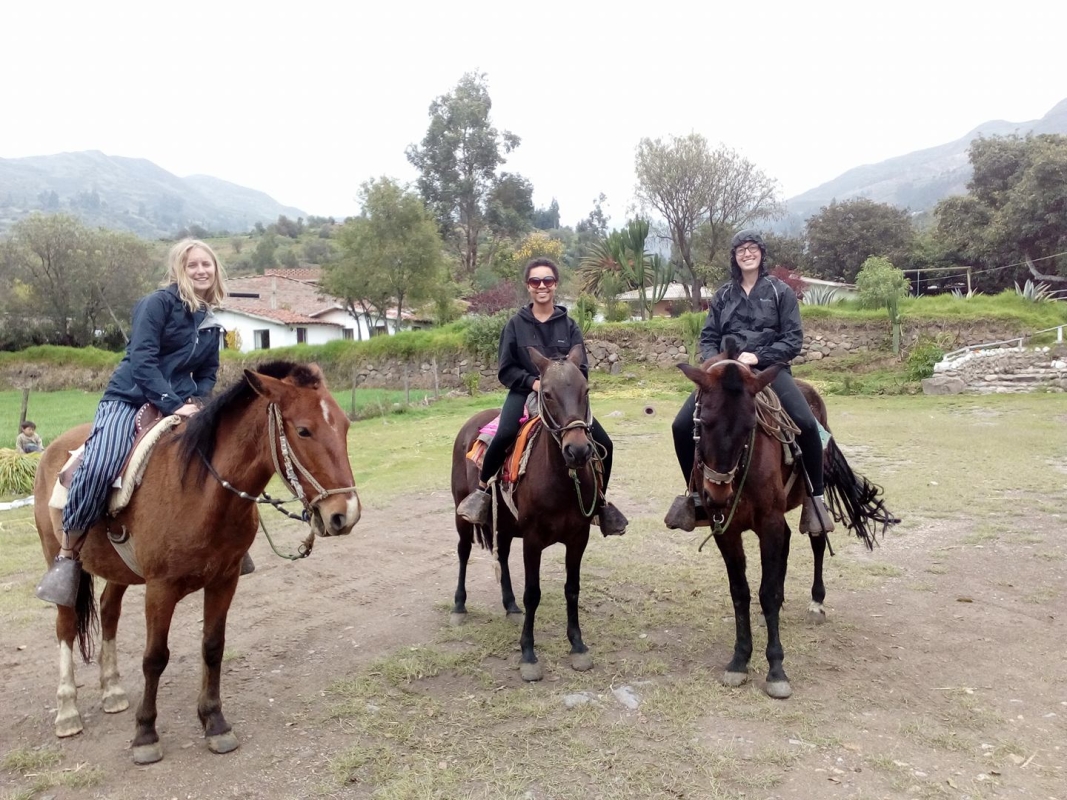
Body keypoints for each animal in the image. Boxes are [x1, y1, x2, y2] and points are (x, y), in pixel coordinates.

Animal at [33, 362, 360, 763]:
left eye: (344, 426)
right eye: (303, 430)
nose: (345, 514)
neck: (201, 491)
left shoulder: (225, 580)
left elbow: (213, 647)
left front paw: (214, 722)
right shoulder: (160, 588)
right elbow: (155, 657)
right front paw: (146, 734)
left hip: (119, 571)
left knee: (109, 611)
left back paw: (112, 691)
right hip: (59, 558)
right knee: (65, 626)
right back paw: (67, 711)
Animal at [448, 345, 601, 682]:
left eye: (585, 390)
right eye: (547, 394)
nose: (578, 451)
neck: (560, 480)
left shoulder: (579, 537)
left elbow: (572, 589)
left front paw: (578, 646)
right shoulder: (532, 540)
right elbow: (533, 593)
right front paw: (528, 654)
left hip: (503, 524)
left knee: (502, 556)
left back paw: (510, 606)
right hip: (461, 514)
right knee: (463, 551)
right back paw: (459, 606)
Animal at [678, 339, 896, 699]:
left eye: (750, 425)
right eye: (702, 421)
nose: (716, 495)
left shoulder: (768, 521)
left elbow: (765, 592)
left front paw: (776, 669)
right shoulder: (726, 528)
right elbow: (740, 592)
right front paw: (739, 661)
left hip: (808, 501)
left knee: (817, 541)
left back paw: (816, 603)